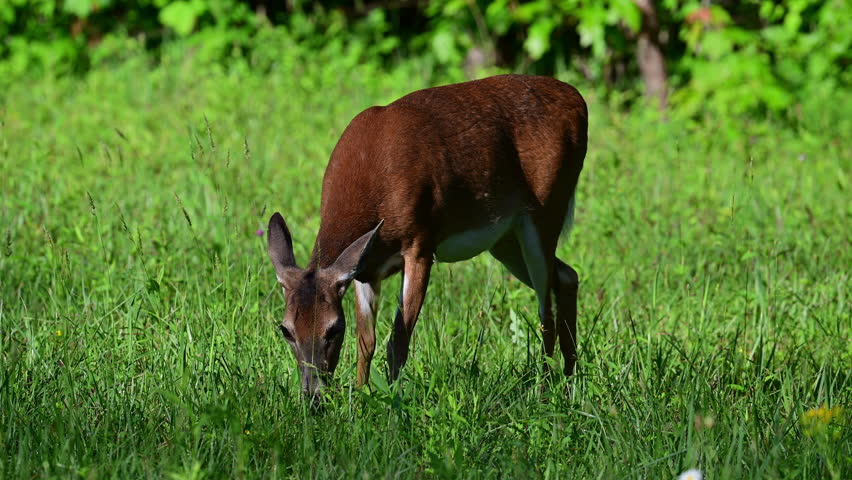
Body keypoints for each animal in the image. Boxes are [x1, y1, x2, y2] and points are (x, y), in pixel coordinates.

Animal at [266, 74, 587, 403]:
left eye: (334, 328)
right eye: (285, 329)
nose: (313, 397)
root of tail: (577, 97)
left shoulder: (420, 244)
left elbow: (397, 341)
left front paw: (391, 402)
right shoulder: (365, 267)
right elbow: (366, 340)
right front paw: (360, 396)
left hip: (546, 208)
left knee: (545, 308)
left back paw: (545, 390)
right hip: (505, 238)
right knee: (567, 275)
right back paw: (569, 378)